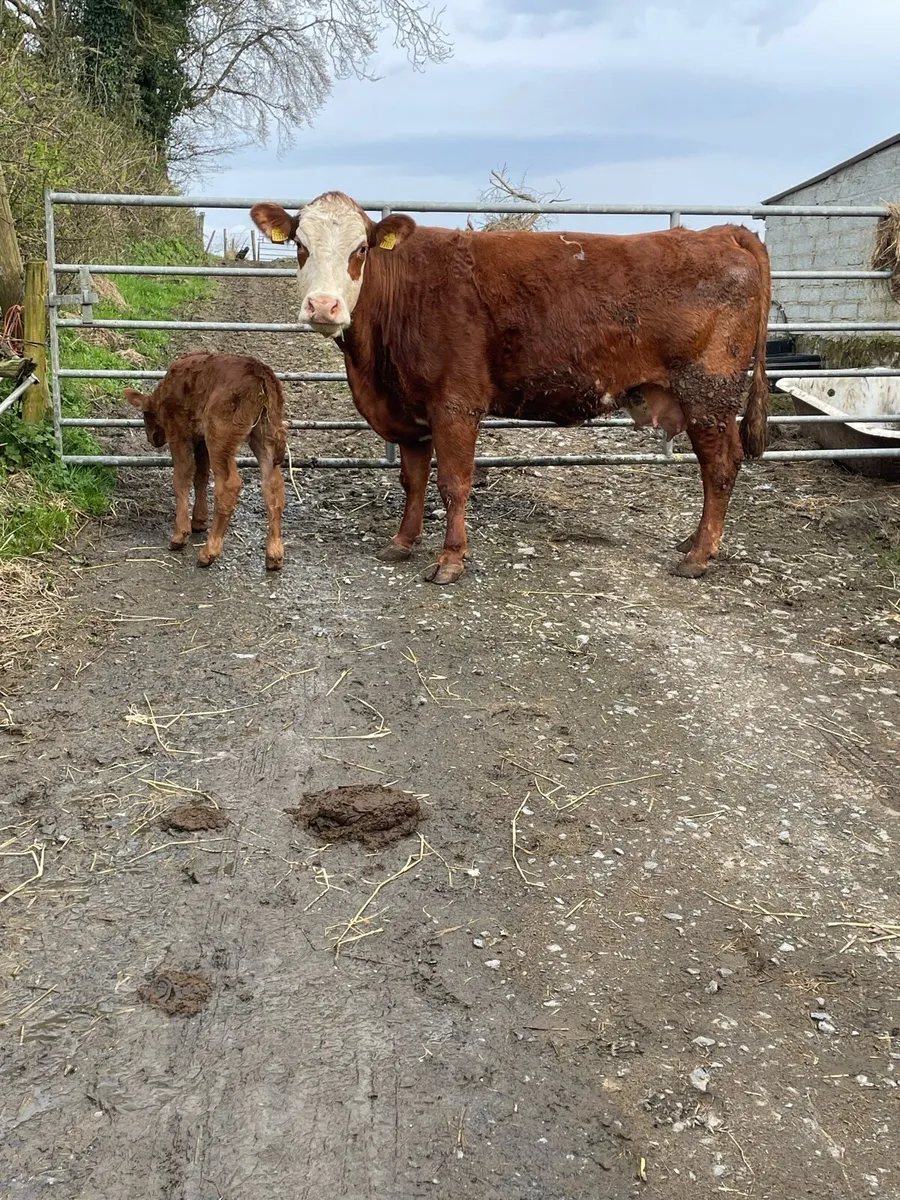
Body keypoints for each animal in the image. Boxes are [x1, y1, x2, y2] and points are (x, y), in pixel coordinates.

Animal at [125, 352, 287, 570]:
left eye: (145, 415)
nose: (152, 439)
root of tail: (261, 374)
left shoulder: (179, 433)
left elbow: (182, 476)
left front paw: (180, 535)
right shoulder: (200, 440)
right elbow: (201, 475)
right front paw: (199, 521)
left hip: (220, 437)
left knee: (228, 485)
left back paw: (208, 553)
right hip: (264, 435)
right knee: (273, 485)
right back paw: (274, 555)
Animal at [250, 192, 771, 583]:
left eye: (360, 249)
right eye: (299, 245)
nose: (323, 305)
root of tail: (719, 232)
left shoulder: (455, 404)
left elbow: (453, 483)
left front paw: (450, 560)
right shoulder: (411, 409)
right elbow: (412, 480)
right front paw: (401, 542)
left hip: (708, 394)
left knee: (720, 467)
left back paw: (698, 557)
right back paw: (693, 542)